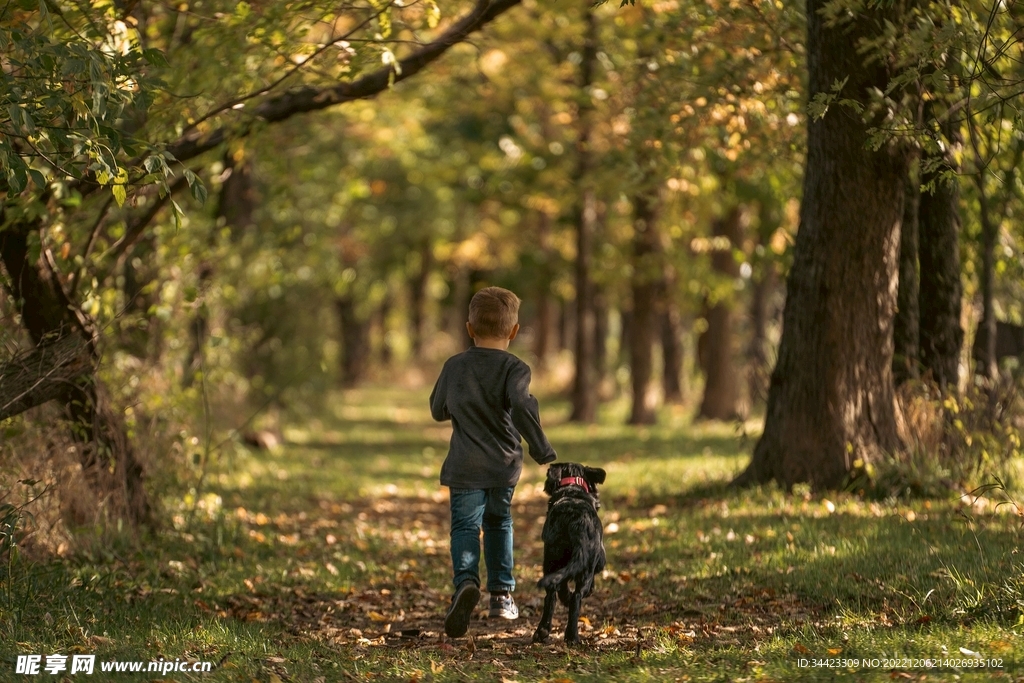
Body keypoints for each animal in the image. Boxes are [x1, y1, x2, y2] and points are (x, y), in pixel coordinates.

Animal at [532, 462, 602, 643]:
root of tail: (576, 523)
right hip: (585, 567)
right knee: (576, 597)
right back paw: (572, 635)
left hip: (551, 560)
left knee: (552, 594)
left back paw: (542, 631)